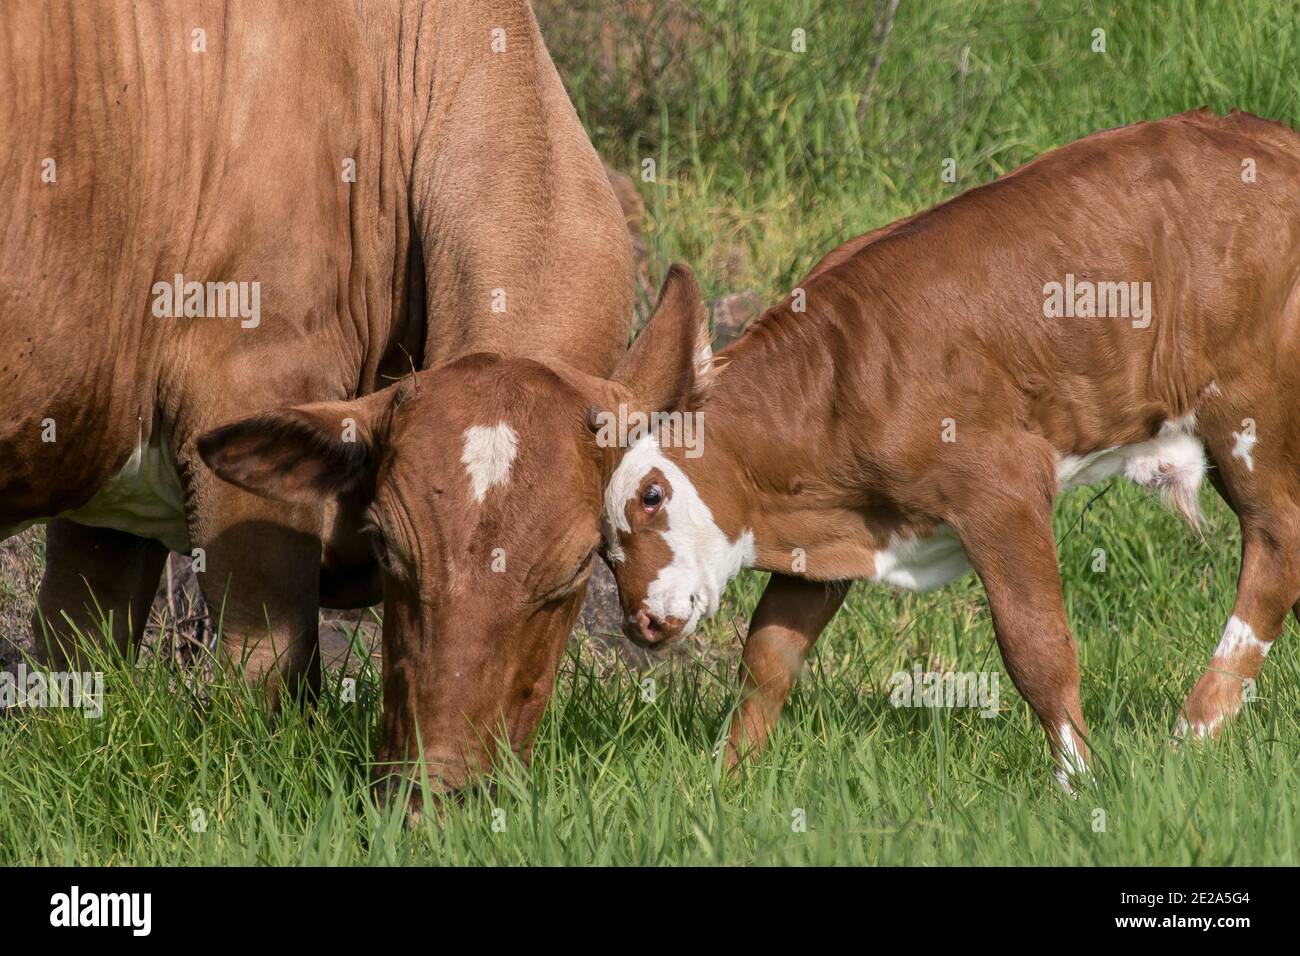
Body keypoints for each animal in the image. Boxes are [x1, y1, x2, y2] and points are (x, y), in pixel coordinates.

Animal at [1, 0, 634, 790]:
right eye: (390, 544)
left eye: (580, 568)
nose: (441, 791)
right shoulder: (251, 386)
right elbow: (268, 671)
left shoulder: (106, 486)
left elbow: (74, 657)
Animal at [595, 110, 1300, 785]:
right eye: (600, 548)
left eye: (652, 494)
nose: (639, 623)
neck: (833, 381)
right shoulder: (823, 525)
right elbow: (768, 655)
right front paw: (726, 781)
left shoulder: (1002, 485)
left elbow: (1036, 648)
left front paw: (1080, 781)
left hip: (1248, 405)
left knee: (1277, 542)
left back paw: (1193, 733)